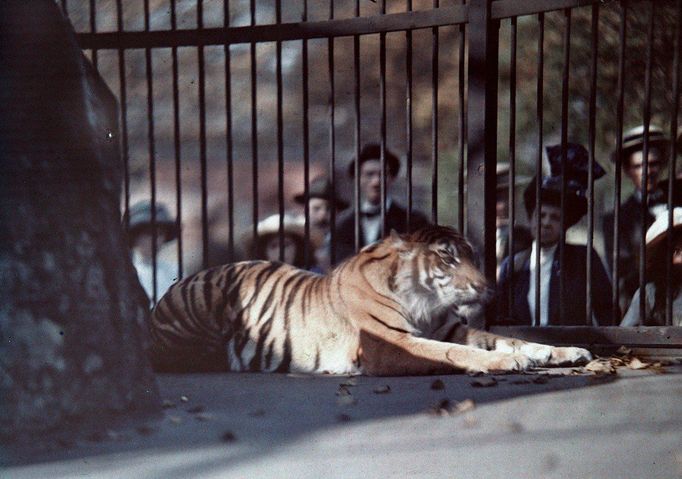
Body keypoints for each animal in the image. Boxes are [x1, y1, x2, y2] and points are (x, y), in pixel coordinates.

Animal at [149, 225, 588, 376]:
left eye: (474, 256)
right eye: (448, 258)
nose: (487, 288)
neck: (422, 303)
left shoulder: (453, 328)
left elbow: (510, 338)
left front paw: (564, 352)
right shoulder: (391, 344)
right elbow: (450, 353)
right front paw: (508, 362)